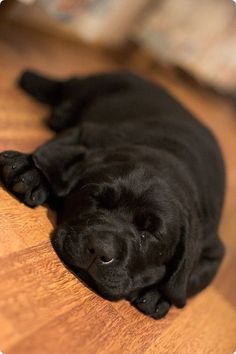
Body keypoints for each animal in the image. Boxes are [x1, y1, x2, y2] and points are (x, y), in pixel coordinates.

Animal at [0, 70, 225, 320]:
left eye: (149, 234)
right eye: (96, 200)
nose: (100, 250)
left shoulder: (213, 250)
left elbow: (187, 279)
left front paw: (158, 293)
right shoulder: (89, 132)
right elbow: (55, 156)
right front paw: (30, 171)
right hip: (94, 85)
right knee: (67, 85)